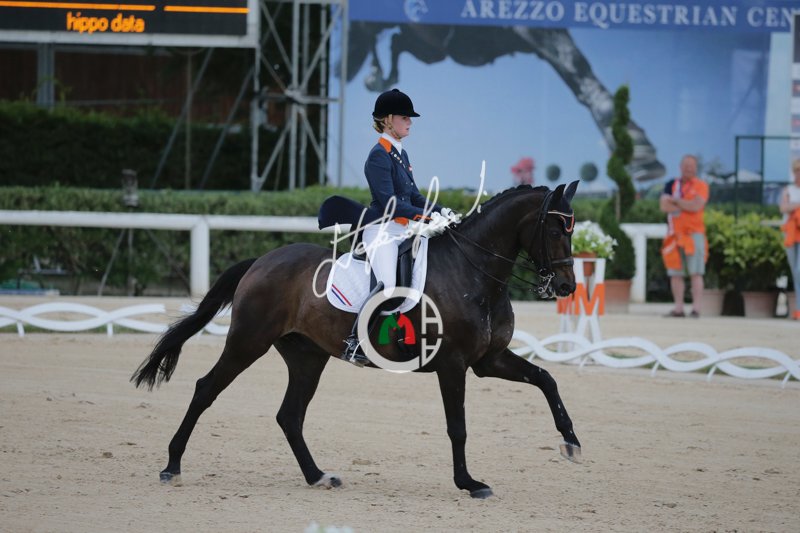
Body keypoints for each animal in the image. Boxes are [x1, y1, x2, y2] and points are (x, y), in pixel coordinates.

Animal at [131, 182, 582, 499]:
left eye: (572, 227)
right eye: (554, 227)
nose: (565, 286)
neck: (474, 272)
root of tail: (262, 261)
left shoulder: (489, 361)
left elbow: (546, 379)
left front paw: (571, 442)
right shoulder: (453, 364)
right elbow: (458, 426)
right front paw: (470, 483)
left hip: (307, 357)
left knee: (289, 416)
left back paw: (318, 476)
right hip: (248, 342)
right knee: (206, 389)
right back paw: (171, 467)